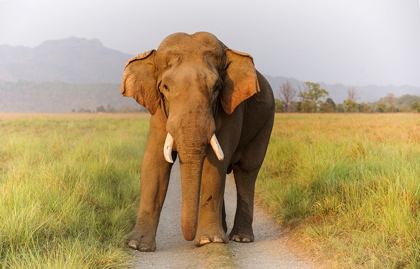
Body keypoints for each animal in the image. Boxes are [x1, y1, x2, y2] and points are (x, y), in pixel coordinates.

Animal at [120, 31, 274, 251]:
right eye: (165, 87)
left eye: (217, 87)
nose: (189, 239)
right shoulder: (159, 109)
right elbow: (154, 161)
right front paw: (137, 246)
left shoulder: (232, 108)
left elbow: (215, 163)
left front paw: (209, 240)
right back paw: (224, 233)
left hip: (266, 121)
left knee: (247, 171)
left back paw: (240, 238)